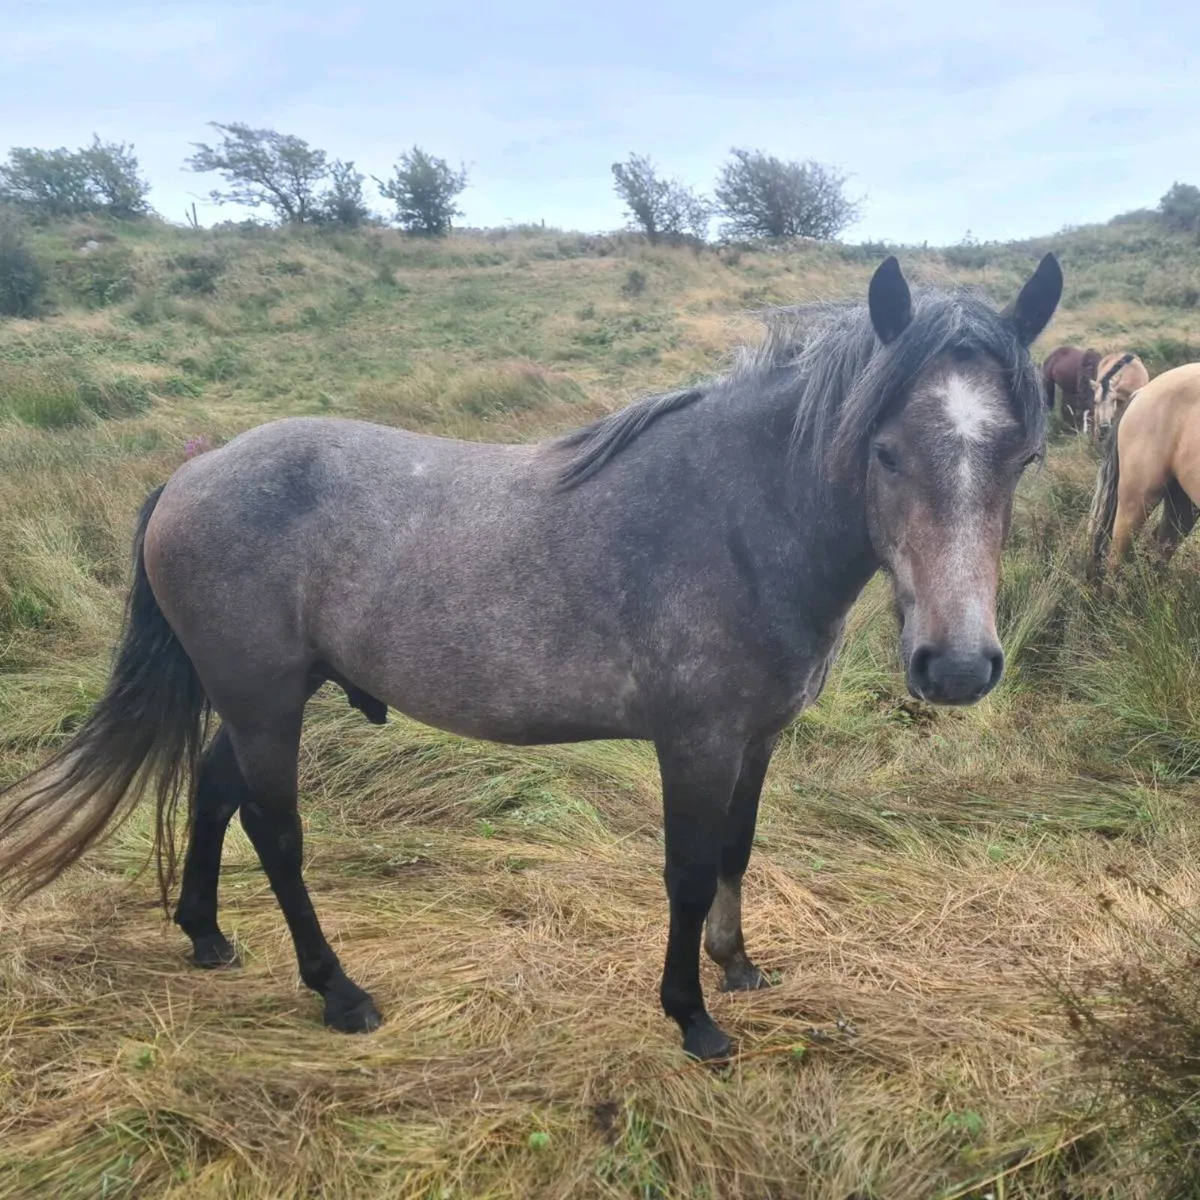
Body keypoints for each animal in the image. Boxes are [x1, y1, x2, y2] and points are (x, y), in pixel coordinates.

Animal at [0, 254, 1062, 1062]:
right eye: (884, 451)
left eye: (1024, 457)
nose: (956, 668)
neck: (738, 521)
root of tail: (191, 474)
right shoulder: (696, 743)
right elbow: (686, 870)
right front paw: (691, 1017)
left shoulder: (757, 739)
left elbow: (735, 849)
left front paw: (737, 964)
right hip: (265, 703)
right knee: (276, 829)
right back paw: (338, 991)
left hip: (261, 696)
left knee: (216, 789)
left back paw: (208, 933)